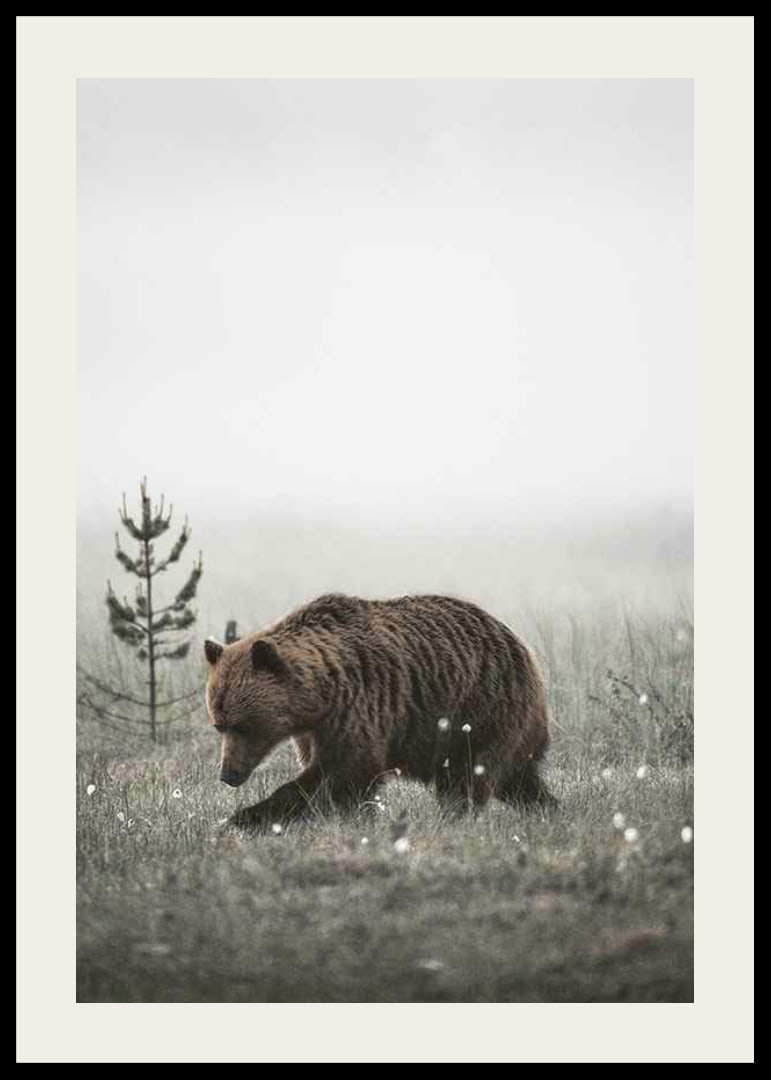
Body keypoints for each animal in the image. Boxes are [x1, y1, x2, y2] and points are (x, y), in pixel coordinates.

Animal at [203, 592, 555, 831]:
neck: (318, 697)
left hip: (480, 712)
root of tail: (523, 648)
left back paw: (454, 819)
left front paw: (244, 817)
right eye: (219, 725)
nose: (228, 774)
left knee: (468, 776)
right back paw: (550, 809)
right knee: (518, 779)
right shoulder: (312, 730)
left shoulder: (358, 708)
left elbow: (343, 772)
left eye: (245, 725)